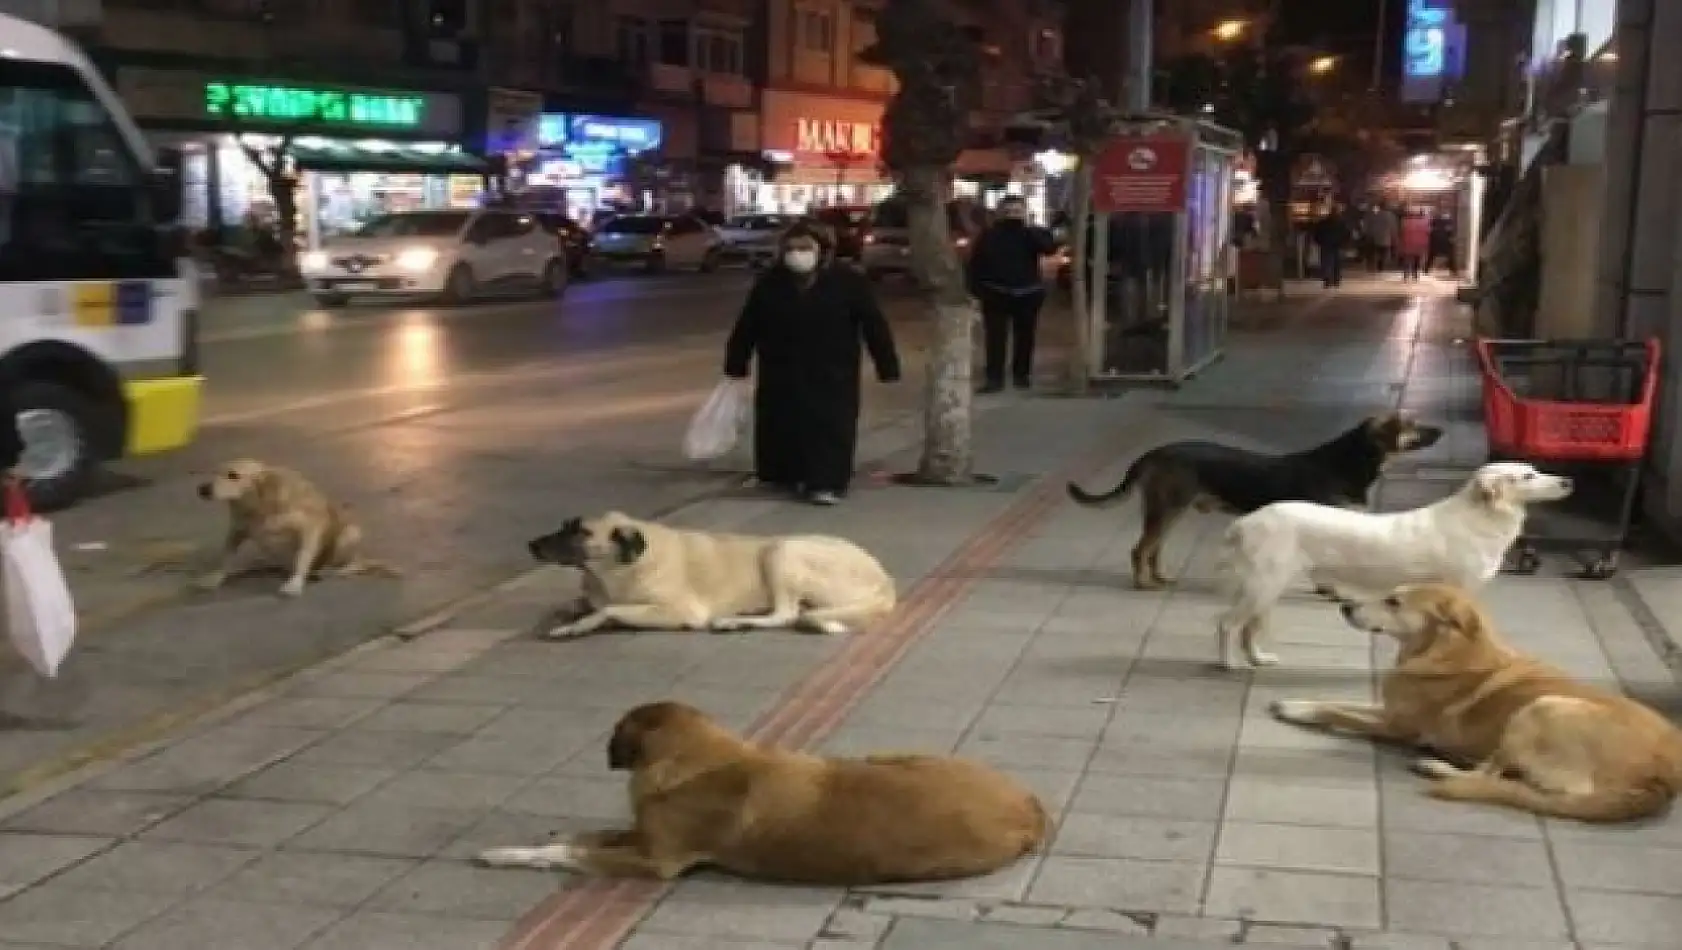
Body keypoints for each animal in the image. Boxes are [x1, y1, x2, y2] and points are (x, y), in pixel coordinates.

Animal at [193, 457, 396, 595]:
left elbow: (302, 556)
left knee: (353, 564)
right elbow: (226, 557)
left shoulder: (310, 526)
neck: (259, 505)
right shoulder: (236, 531)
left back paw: (333, 570)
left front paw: (295, 583)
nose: (203, 489)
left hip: (351, 534)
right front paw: (216, 576)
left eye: (233, 475)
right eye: (214, 472)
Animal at [477, 696, 1049, 881]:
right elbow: (592, 834)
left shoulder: (656, 862)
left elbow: (572, 852)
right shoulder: (643, 836)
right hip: (890, 755)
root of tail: (1031, 806)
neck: (696, 758)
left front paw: (508, 853)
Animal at [1069, 411, 1439, 588]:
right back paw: (1142, 584)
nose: (1442, 430)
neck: (1349, 461)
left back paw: (1159, 578)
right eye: (1411, 423)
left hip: (1170, 510)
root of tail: (1154, 453)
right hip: (1167, 508)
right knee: (1140, 550)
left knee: (1153, 549)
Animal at [1217, 460, 1567, 665]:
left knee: (1248, 628)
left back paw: (1258, 659)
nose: (1569, 482)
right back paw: (1228, 664)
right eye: (1528, 476)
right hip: (1263, 585)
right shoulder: (1462, 588)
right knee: (1229, 624)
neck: (1479, 517)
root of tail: (1248, 521)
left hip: (1267, 588)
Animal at [1271, 581, 1682, 817]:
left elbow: (1337, 711)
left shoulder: (1397, 726)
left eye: (1394, 602)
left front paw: (1296, 711)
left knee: (1499, 776)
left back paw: (1439, 767)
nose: (1344, 606)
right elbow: (1341, 703)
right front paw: (1299, 701)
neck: (1445, 650)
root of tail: (1665, 777)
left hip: (1542, 708)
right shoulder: (1389, 711)